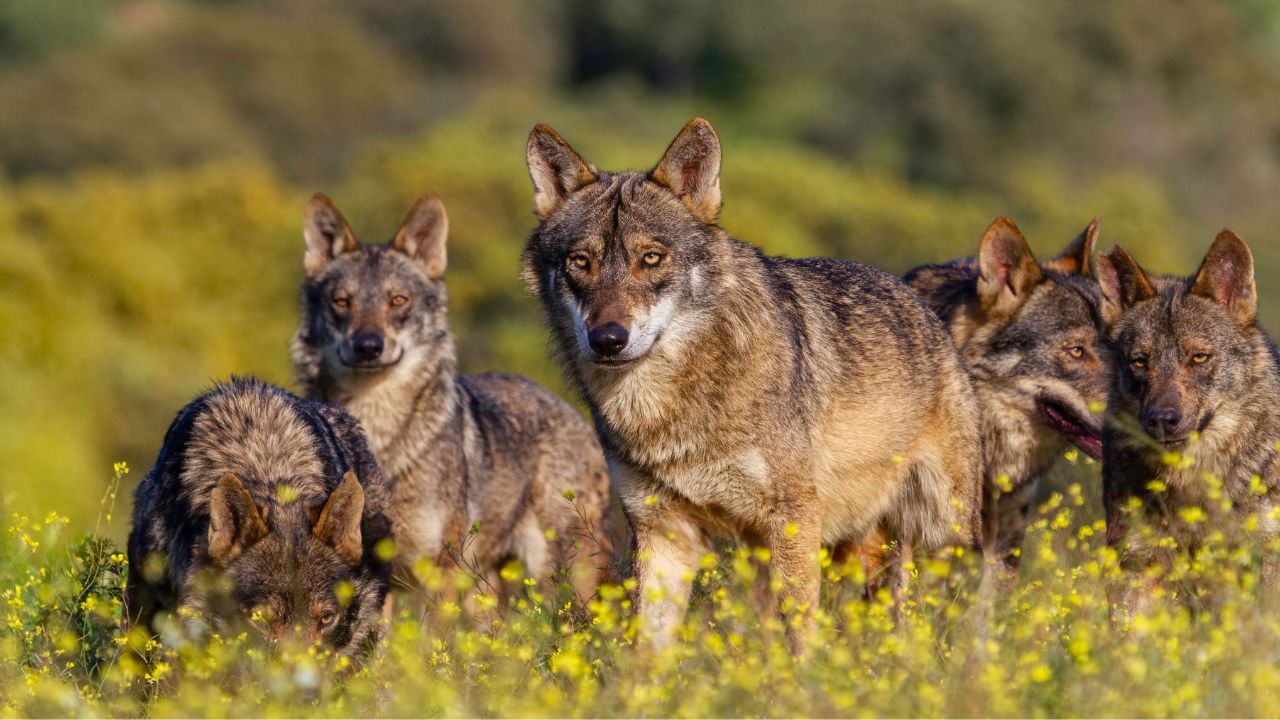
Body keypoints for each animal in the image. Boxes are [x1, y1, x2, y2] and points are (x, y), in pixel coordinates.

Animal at [292, 193, 612, 603]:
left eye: (399, 300)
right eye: (342, 302)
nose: (368, 346)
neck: (376, 431)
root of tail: (573, 413)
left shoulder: (440, 570)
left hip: (554, 578)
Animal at [521, 117, 984, 646]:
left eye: (651, 258)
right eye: (580, 262)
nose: (608, 340)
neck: (668, 408)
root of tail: (919, 300)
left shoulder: (793, 521)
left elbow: (800, 636)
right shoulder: (662, 532)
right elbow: (649, 650)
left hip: (944, 534)